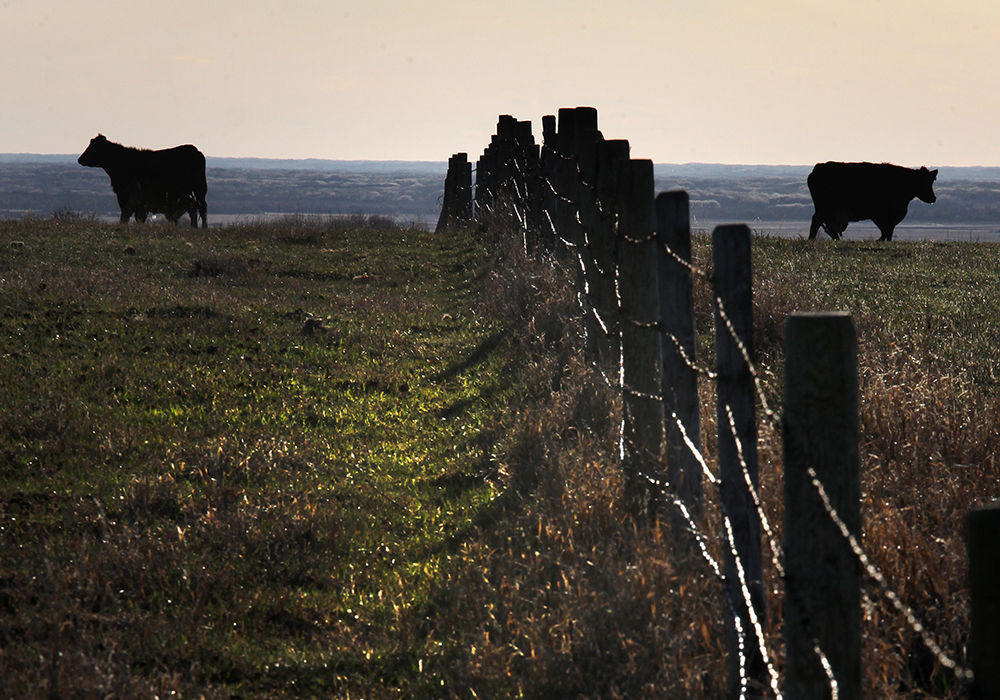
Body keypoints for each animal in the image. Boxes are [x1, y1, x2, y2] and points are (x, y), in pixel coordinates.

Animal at [78, 134, 208, 227]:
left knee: (201, 207)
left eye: (93, 148)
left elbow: (128, 216)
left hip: (199, 189)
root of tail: (194, 149)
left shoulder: (130, 198)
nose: (80, 159)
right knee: (196, 208)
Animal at [807, 161, 937, 241]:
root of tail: (818, 167)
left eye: (931, 181)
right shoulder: (881, 214)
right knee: (817, 220)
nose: (933, 198)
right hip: (823, 209)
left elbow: (887, 229)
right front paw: (882, 240)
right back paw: (811, 239)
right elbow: (886, 229)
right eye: (924, 181)